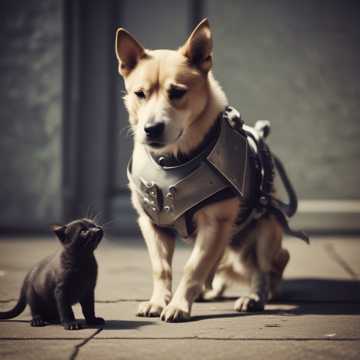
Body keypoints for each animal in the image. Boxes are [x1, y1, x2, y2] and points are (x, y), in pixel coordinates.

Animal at [115, 18, 290, 322]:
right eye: (140, 94)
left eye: (177, 93)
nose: (151, 129)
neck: (173, 159)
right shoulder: (152, 224)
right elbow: (162, 269)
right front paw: (159, 301)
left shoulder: (214, 224)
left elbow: (193, 268)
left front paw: (178, 305)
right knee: (220, 266)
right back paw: (210, 291)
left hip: (264, 234)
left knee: (264, 269)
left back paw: (254, 297)